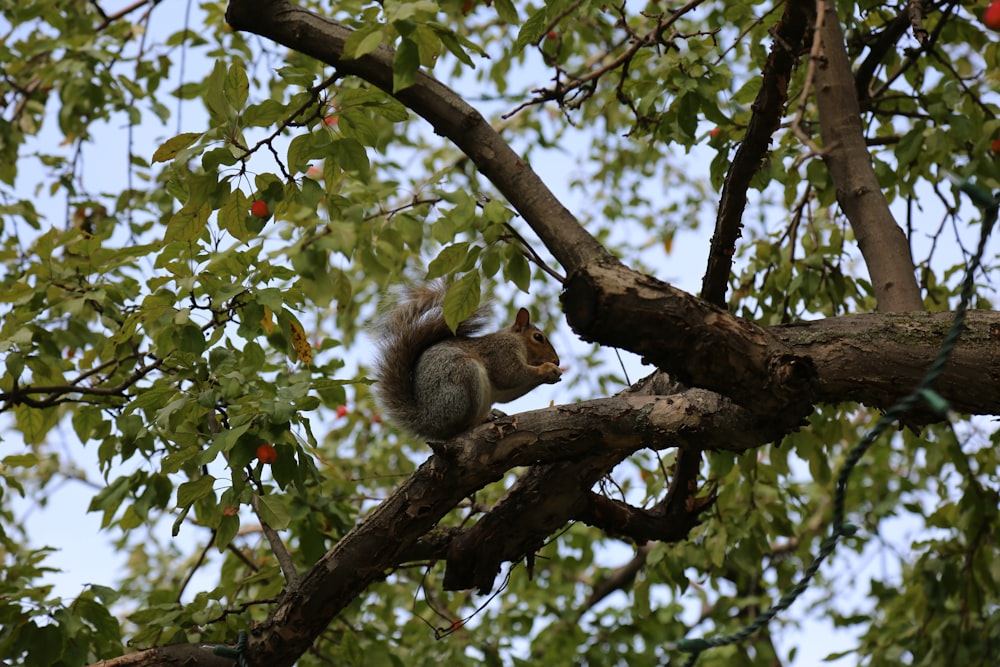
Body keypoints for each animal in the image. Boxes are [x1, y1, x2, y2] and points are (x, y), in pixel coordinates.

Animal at [374, 284, 564, 444]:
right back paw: (481, 419)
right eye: (538, 337)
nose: (557, 361)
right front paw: (547, 370)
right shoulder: (501, 352)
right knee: (459, 428)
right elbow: (510, 376)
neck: (517, 340)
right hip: (462, 380)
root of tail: (427, 420)